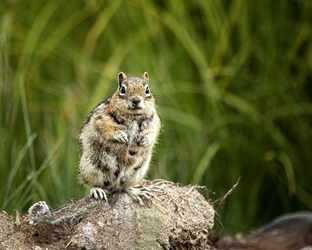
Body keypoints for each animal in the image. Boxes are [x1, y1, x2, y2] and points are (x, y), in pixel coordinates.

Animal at [78, 72, 161, 205]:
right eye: (122, 89)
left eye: (147, 90)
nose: (136, 100)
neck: (134, 116)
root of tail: (112, 187)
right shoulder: (101, 118)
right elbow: (107, 128)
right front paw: (122, 136)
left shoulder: (155, 121)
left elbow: (153, 131)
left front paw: (145, 140)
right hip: (91, 168)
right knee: (93, 184)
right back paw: (98, 190)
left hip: (136, 173)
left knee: (124, 188)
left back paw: (136, 192)